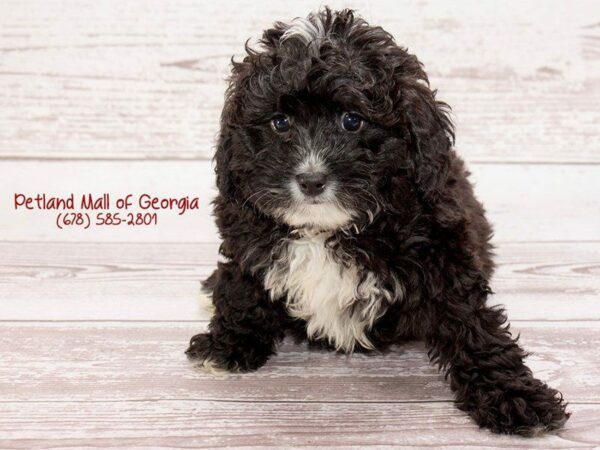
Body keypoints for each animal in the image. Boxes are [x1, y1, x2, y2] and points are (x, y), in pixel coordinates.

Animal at [186, 7, 568, 436]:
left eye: (352, 121)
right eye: (279, 123)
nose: (311, 180)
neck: (328, 229)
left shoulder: (443, 253)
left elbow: (471, 323)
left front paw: (513, 395)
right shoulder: (245, 234)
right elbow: (243, 288)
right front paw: (228, 344)